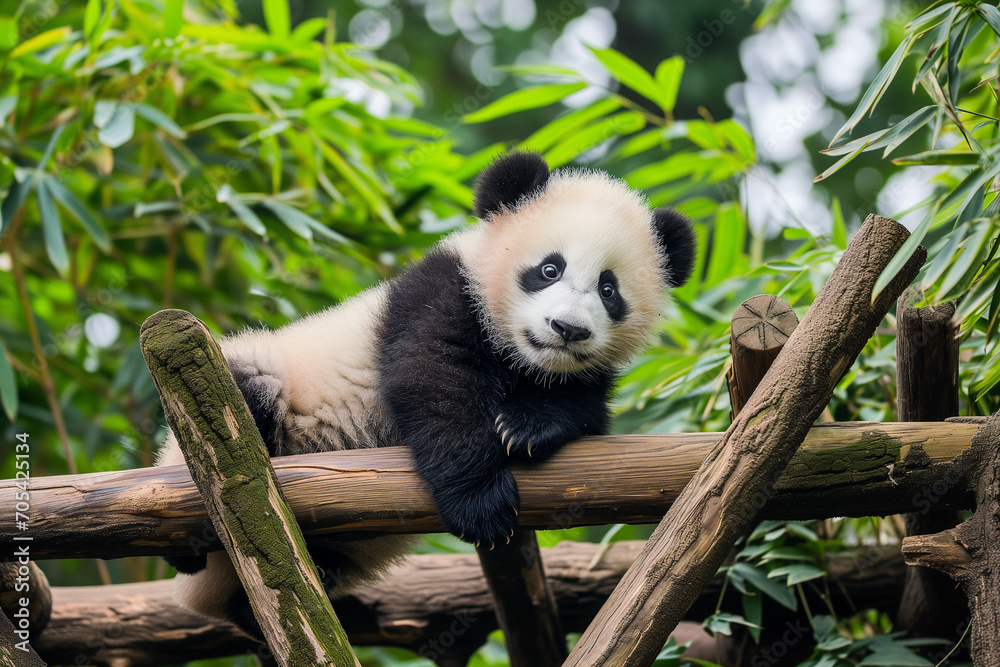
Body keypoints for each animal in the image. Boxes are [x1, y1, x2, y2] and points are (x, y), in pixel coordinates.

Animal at [155, 150, 696, 639]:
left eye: (609, 290)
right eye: (549, 269)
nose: (567, 329)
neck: (523, 358)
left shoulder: (582, 375)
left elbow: (583, 410)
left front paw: (526, 427)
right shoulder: (440, 292)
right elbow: (434, 383)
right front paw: (483, 505)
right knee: (248, 397)